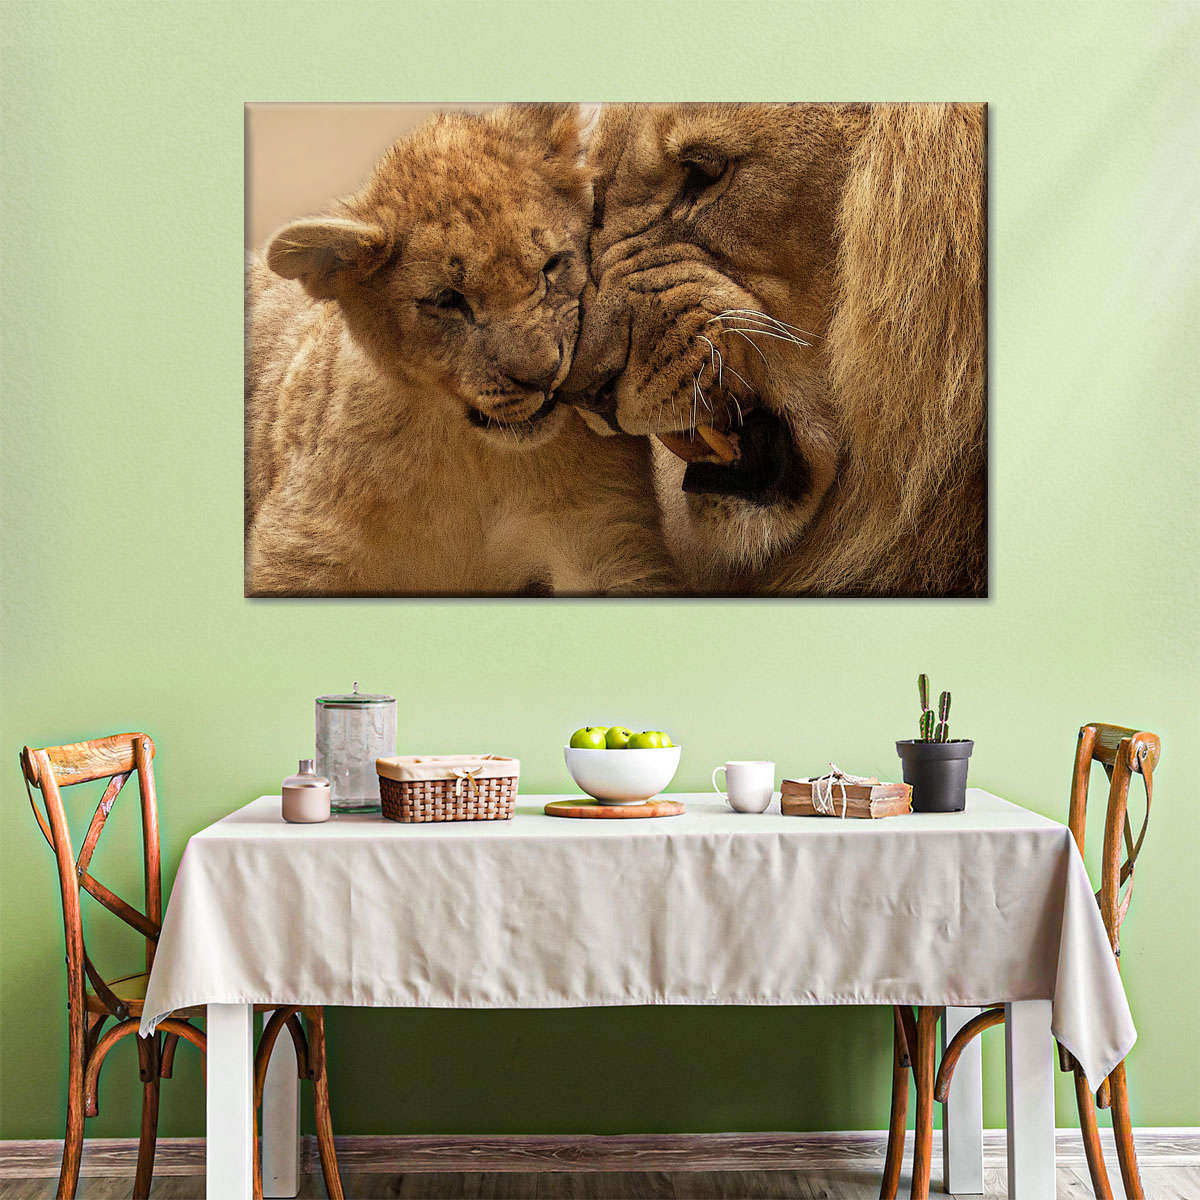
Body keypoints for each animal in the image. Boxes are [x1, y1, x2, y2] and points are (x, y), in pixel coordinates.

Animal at [246, 103, 673, 595]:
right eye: (447, 299)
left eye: (551, 265)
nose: (545, 376)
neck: (475, 460)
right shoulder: (303, 548)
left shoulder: (603, 534)